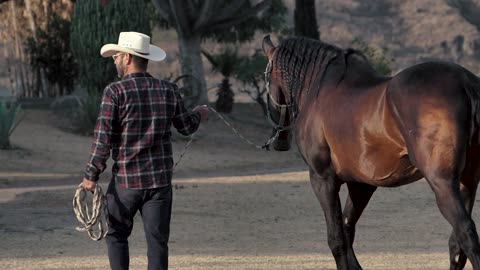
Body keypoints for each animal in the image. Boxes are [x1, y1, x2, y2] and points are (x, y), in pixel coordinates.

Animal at [262, 34, 480, 268]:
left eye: (267, 80)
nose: (280, 141)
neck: (318, 89)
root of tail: (465, 82)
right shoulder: (361, 184)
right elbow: (347, 230)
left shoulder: (323, 179)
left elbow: (337, 239)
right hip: (467, 182)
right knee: (457, 245)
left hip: (442, 182)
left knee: (466, 233)